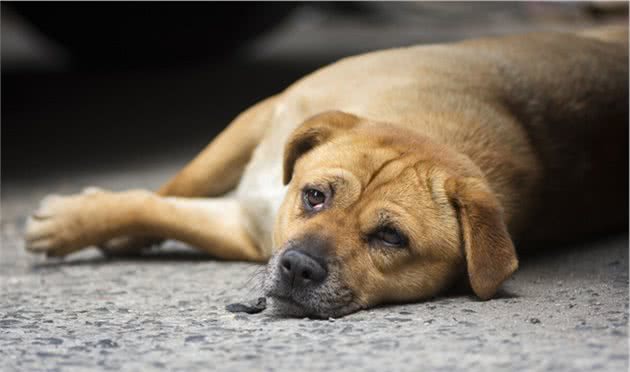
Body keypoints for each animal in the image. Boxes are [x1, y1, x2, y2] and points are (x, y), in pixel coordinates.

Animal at [22, 26, 628, 316]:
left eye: (391, 237)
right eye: (314, 196)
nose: (297, 268)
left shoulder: (245, 231)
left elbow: (165, 209)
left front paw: (84, 223)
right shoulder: (259, 118)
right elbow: (173, 188)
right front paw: (95, 223)